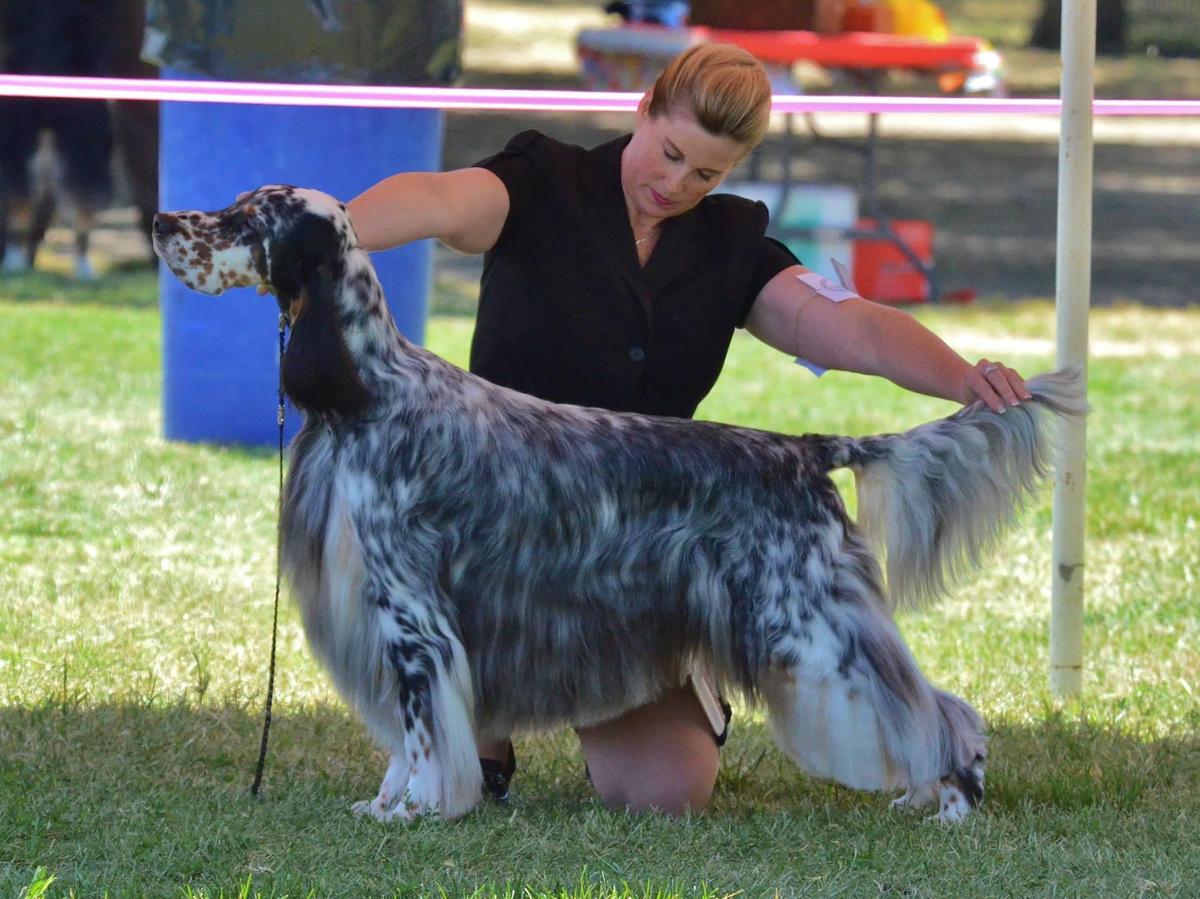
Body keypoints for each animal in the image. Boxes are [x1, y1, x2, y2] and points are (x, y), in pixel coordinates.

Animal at [152, 186, 1089, 825]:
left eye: (242, 218)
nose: (161, 220)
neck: (369, 389)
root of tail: (806, 447)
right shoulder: (388, 616)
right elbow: (405, 731)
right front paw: (388, 803)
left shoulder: (413, 613)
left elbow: (420, 726)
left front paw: (414, 809)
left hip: (813, 624)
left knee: (940, 711)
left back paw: (953, 803)